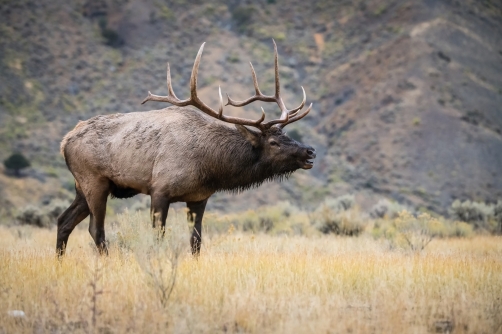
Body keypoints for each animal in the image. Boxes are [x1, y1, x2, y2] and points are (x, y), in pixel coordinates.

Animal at [56, 41, 316, 256]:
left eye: (287, 135)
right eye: (273, 142)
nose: (309, 151)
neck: (210, 168)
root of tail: (64, 142)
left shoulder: (199, 198)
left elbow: (196, 242)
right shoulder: (159, 190)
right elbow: (158, 237)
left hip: (82, 187)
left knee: (63, 221)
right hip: (94, 181)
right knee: (95, 230)